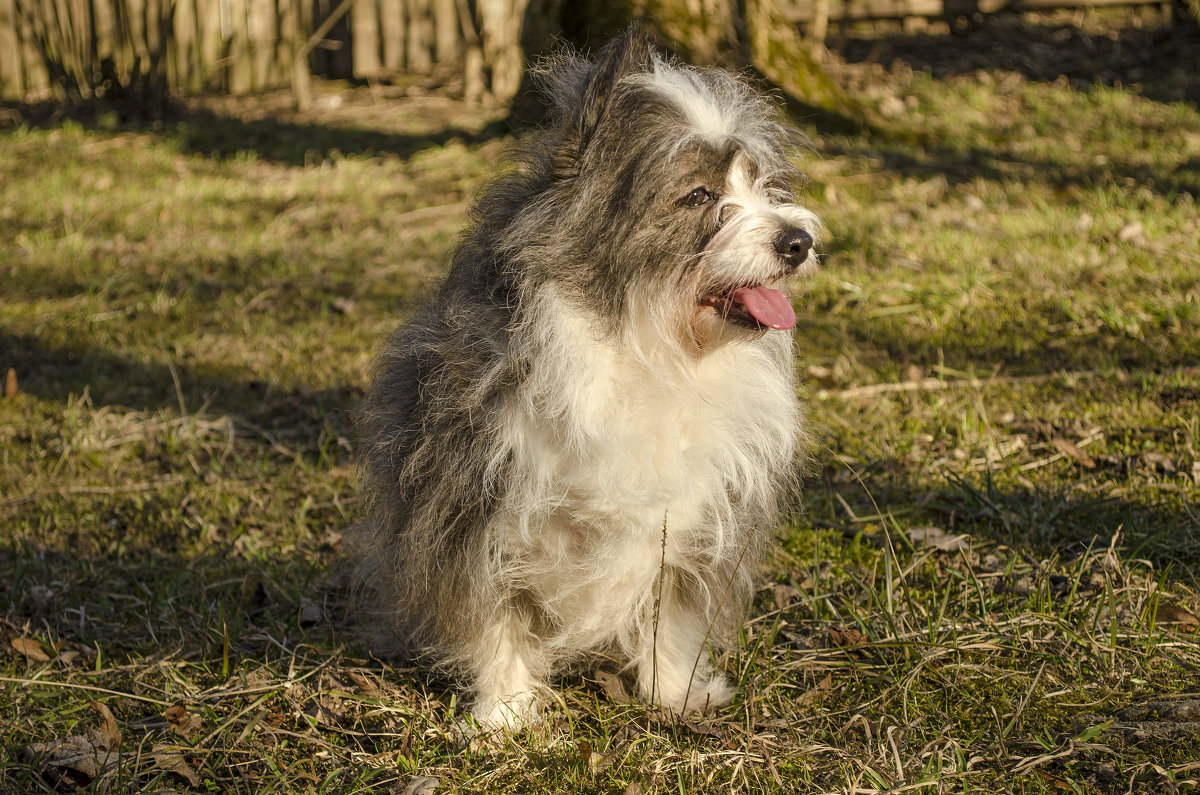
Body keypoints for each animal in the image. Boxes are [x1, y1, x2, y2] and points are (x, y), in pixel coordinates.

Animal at [355, 28, 820, 730]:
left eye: (764, 186)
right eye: (699, 196)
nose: (799, 241)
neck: (645, 342)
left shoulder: (691, 521)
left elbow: (671, 614)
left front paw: (674, 695)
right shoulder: (475, 499)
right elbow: (496, 617)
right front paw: (504, 717)